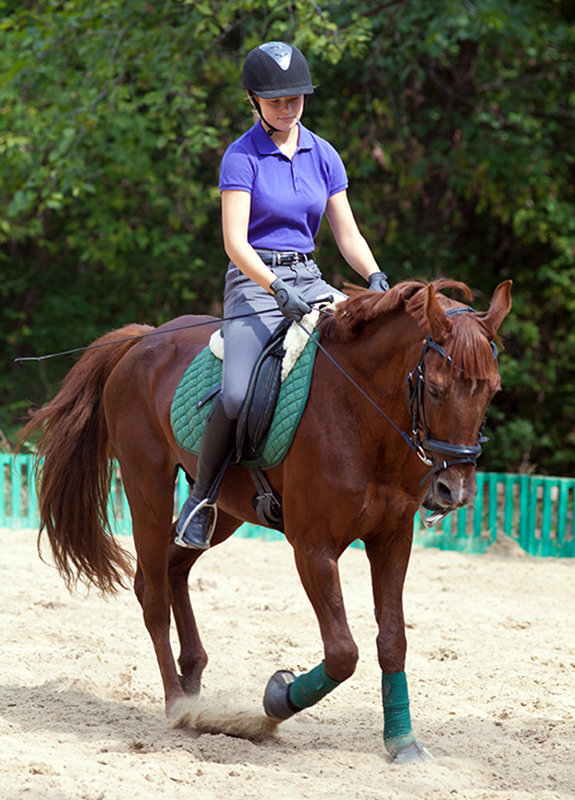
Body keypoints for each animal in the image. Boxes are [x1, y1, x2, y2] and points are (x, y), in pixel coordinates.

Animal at [19, 278, 512, 763]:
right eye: (436, 390)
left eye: (493, 391)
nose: (454, 491)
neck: (362, 410)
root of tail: (143, 338)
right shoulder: (313, 547)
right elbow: (342, 653)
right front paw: (275, 700)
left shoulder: (392, 539)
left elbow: (392, 641)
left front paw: (402, 742)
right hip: (148, 492)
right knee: (153, 594)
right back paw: (178, 705)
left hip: (220, 511)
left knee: (172, 568)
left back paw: (193, 684)